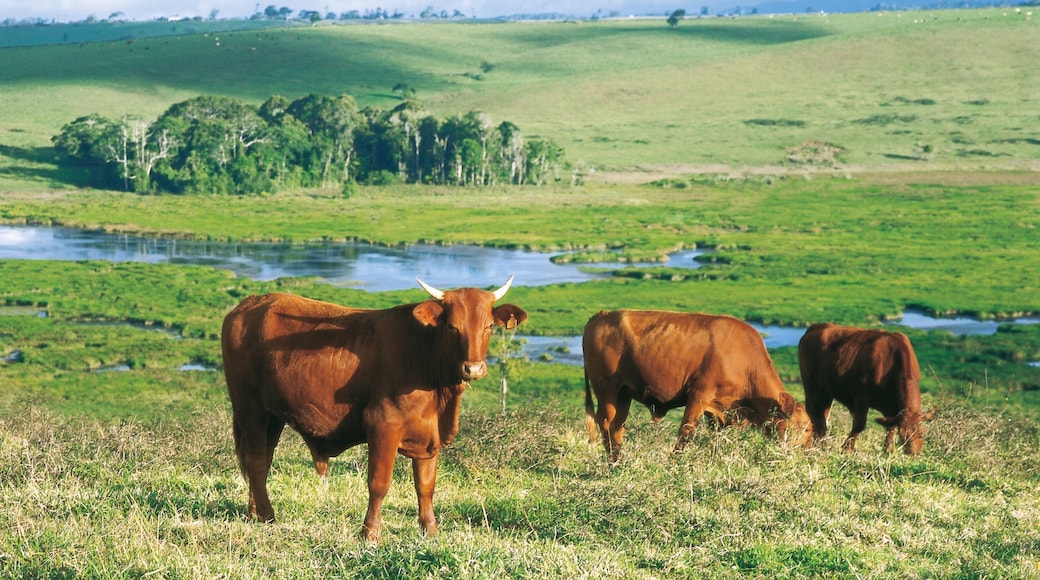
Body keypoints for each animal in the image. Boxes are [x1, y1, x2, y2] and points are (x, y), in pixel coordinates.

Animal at [220, 276, 528, 540]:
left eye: (489, 326)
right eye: (453, 326)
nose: (473, 368)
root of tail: (250, 304)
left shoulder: (430, 434)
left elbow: (425, 485)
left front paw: (430, 530)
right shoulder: (383, 426)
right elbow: (379, 483)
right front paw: (370, 533)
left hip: (272, 414)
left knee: (260, 458)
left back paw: (254, 513)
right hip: (249, 407)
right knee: (256, 460)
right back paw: (268, 516)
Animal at [582, 309, 807, 463]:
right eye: (803, 428)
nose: (808, 452)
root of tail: (601, 316)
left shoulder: (720, 411)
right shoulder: (698, 397)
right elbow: (686, 433)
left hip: (624, 395)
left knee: (617, 428)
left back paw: (620, 461)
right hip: (608, 392)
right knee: (607, 425)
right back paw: (613, 463)